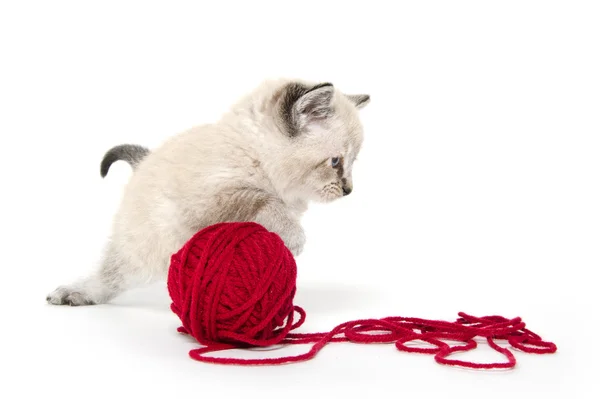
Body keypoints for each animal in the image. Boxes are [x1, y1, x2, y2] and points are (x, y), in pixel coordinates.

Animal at [45, 79, 370, 308]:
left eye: (352, 162)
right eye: (335, 162)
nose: (348, 190)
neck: (256, 156)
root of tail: (144, 161)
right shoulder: (207, 204)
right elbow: (261, 197)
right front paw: (294, 239)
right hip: (144, 243)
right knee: (110, 274)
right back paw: (75, 293)